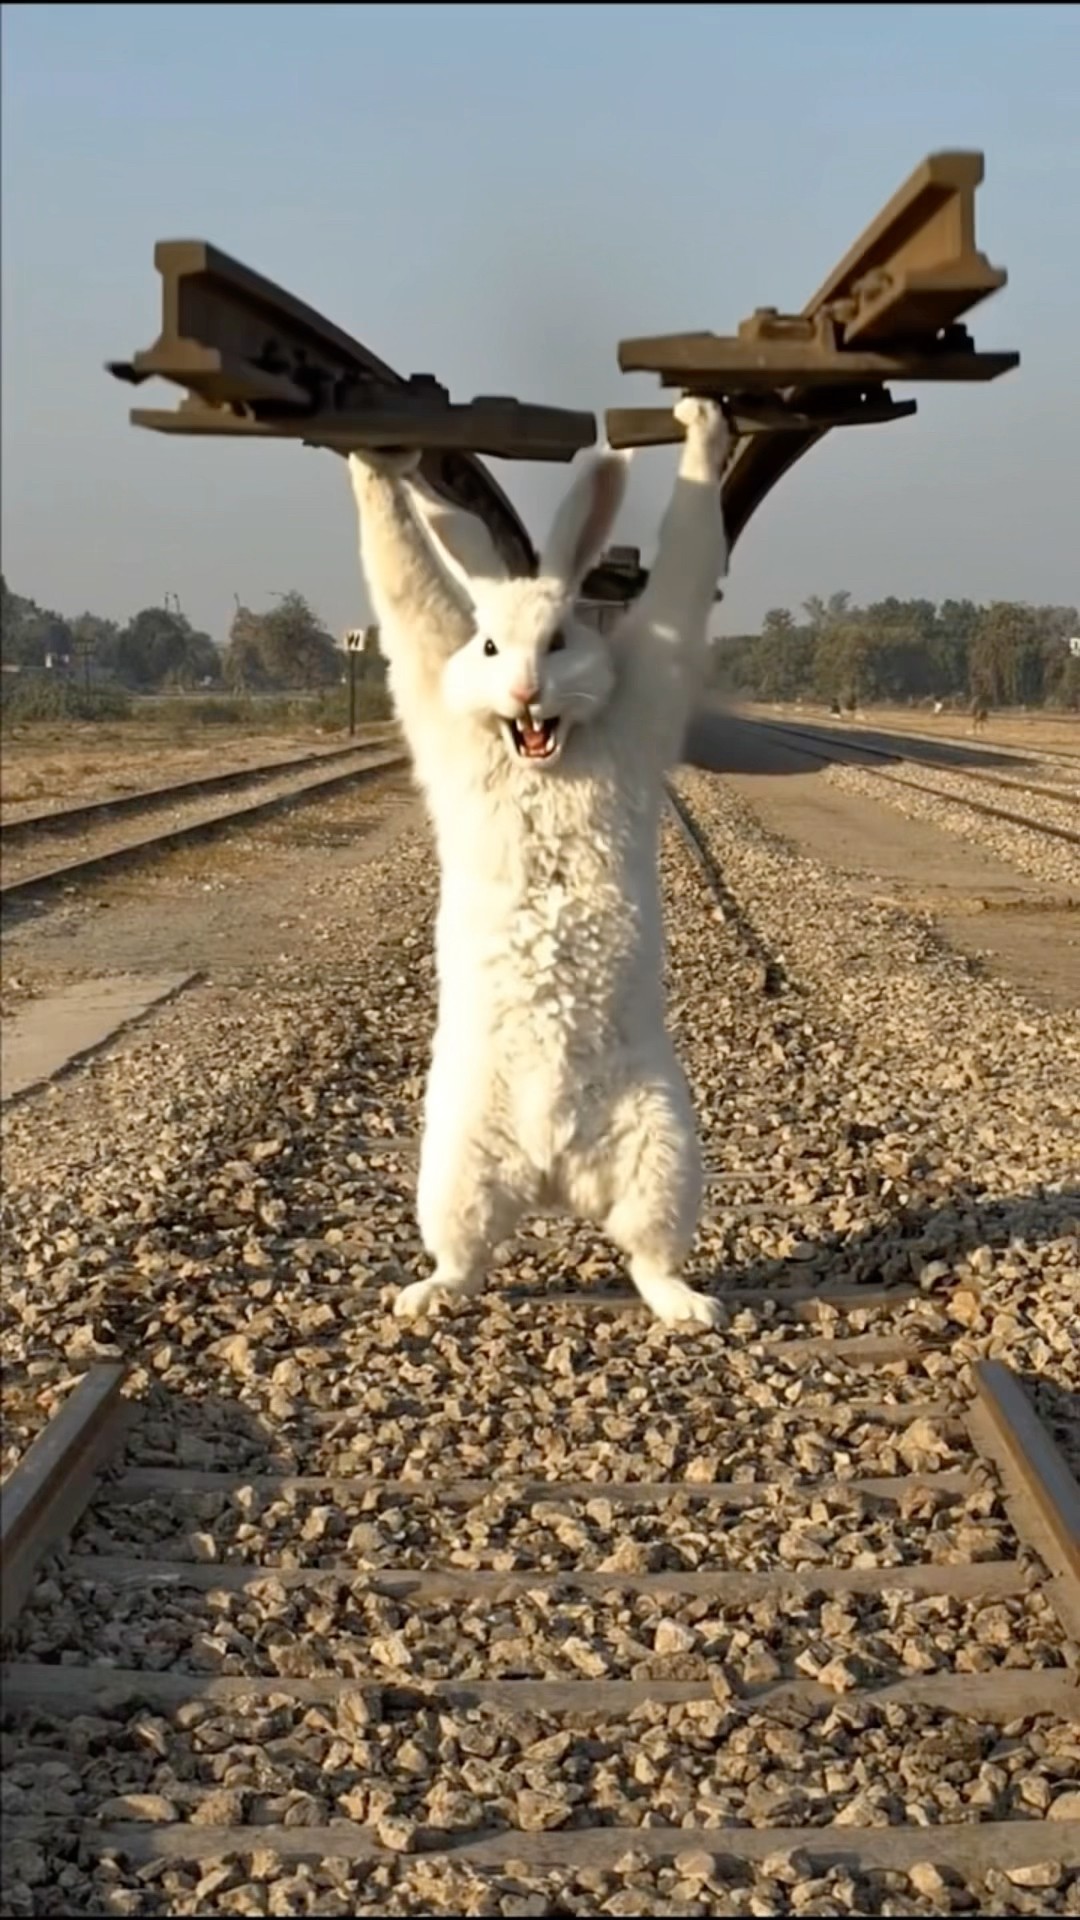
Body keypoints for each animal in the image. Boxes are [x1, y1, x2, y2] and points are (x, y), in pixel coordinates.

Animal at [347, 396, 731, 1328]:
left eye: (559, 640)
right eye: (488, 647)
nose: (526, 692)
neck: (541, 760)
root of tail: (554, 1176)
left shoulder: (648, 690)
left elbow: (692, 546)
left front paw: (699, 420)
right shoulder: (430, 684)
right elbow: (402, 574)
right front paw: (377, 458)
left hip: (665, 1156)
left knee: (647, 1256)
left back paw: (693, 1308)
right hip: (453, 1167)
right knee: (467, 1257)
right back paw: (420, 1297)